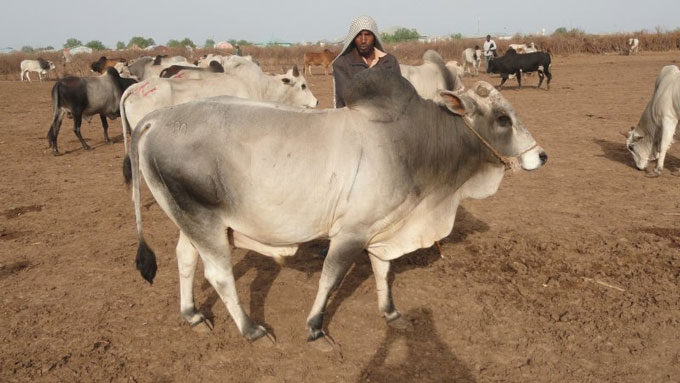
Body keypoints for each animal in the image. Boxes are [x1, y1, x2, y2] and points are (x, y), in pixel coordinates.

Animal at [123, 68, 548, 352]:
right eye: (503, 119)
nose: (541, 156)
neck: (412, 143)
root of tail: (157, 118)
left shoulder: (382, 226)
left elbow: (383, 270)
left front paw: (391, 313)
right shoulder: (351, 233)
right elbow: (331, 278)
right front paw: (315, 329)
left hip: (191, 219)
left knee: (184, 257)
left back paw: (193, 315)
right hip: (204, 220)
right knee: (218, 273)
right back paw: (251, 329)